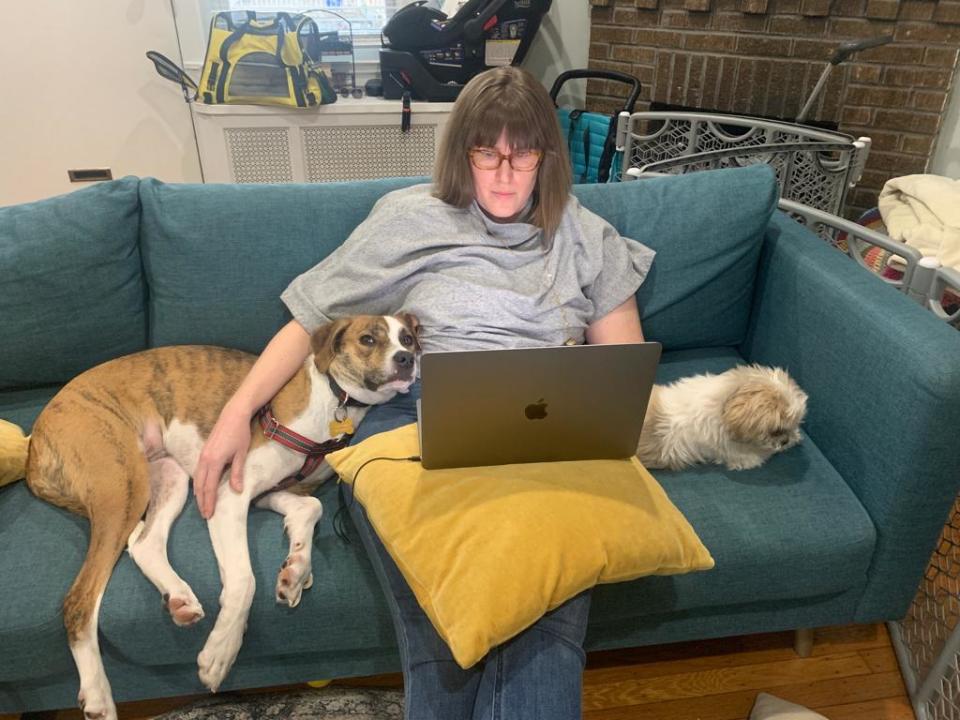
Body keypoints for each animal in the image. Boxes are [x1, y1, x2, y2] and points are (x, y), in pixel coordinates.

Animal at [636, 366, 808, 472]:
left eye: (793, 425)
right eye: (776, 431)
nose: (785, 440)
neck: (723, 404)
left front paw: (795, 435)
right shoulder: (742, 455)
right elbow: (763, 453)